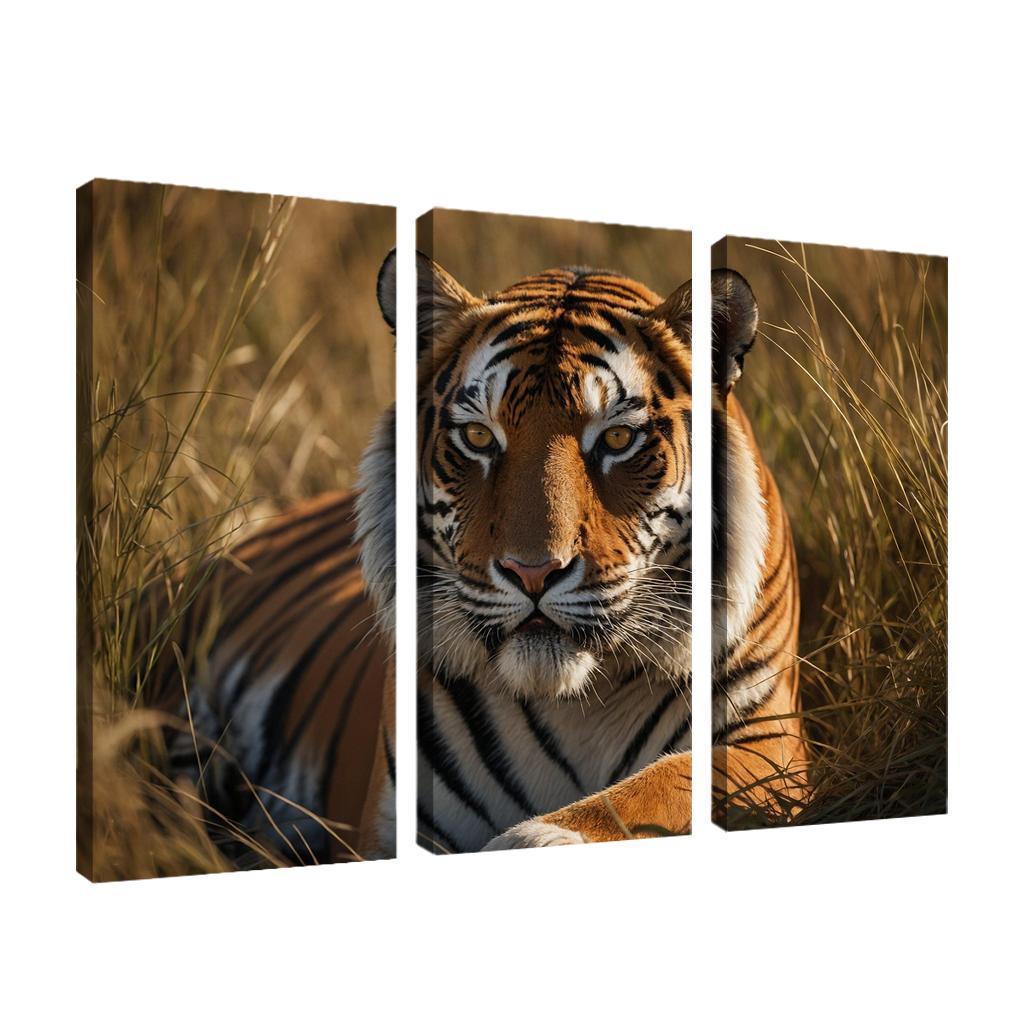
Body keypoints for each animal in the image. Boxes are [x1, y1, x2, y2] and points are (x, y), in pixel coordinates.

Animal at [411, 253, 808, 852]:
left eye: (618, 440)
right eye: (479, 437)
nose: (533, 572)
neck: (575, 702)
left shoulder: (769, 741)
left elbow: (665, 784)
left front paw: (537, 837)